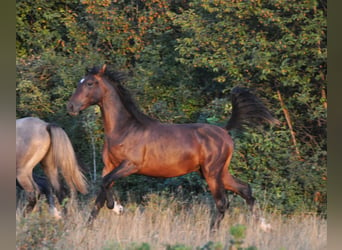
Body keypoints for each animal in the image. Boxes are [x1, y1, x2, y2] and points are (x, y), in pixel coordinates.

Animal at [67, 65, 278, 229]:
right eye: (80, 82)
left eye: (90, 83)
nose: (71, 107)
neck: (125, 129)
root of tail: (224, 131)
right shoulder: (109, 166)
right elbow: (100, 196)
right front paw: (88, 227)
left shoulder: (130, 165)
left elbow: (105, 185)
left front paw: (117, 208)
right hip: (217, 173)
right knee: (245, 190)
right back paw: (264, 226)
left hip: (212, 173)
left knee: (222, 203)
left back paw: (211, 235)